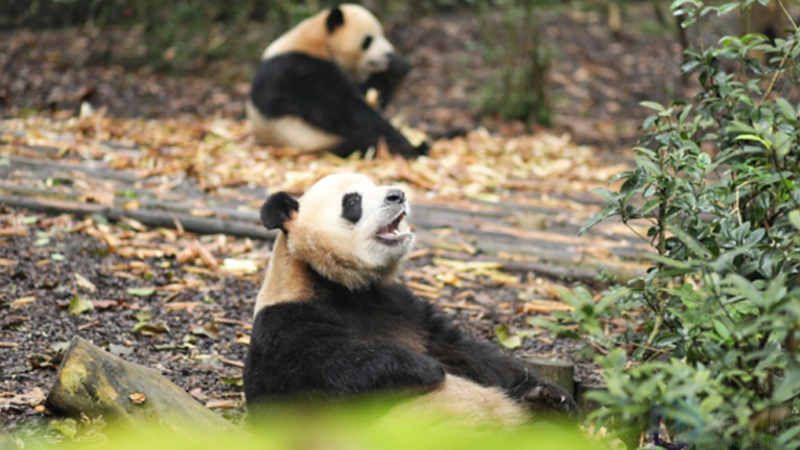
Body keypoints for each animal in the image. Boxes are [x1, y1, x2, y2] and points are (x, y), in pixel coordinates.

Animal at [244, 172, 576, 426]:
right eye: (352, 201)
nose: (398, 195)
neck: (338, 282)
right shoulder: (287, 320)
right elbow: (329, 370)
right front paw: (425, 368)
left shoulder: (403, 306)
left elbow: (464, 349)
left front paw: (552, 393)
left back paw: (544, 405)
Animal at [247, 3, 428, 157]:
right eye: (368, 40)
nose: (388, 54)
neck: (316, 40)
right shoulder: (297, 69)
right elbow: (342, 108)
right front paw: (408, 144)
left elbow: (368, 94)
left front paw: (397, 66)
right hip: (308, 138)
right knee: (364, 140)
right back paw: (414, 148)